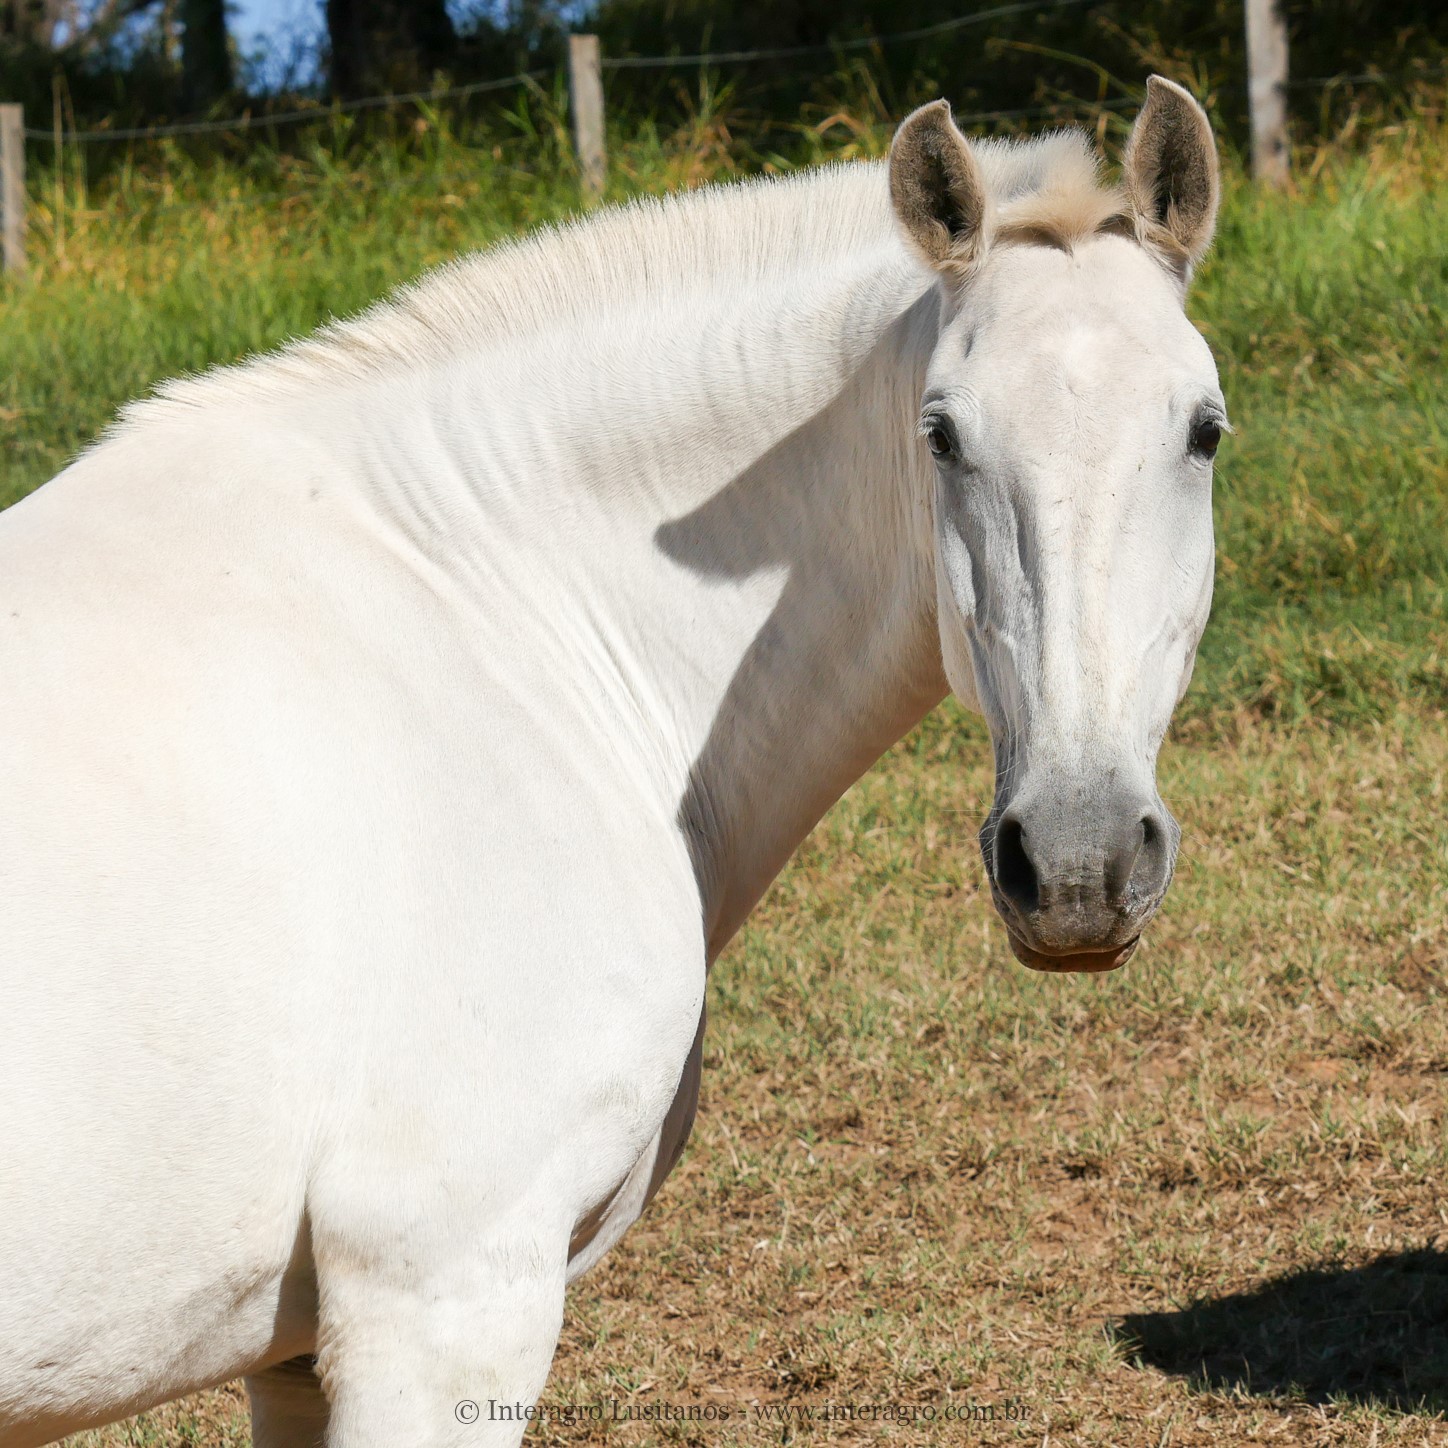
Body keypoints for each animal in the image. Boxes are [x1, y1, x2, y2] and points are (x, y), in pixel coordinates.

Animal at [0, 79, 1222, 1448]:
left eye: (1203, 430)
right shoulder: (444, 1299)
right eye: (941, 436)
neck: (500, 622)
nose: (1074, 861)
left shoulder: (297, 1352)